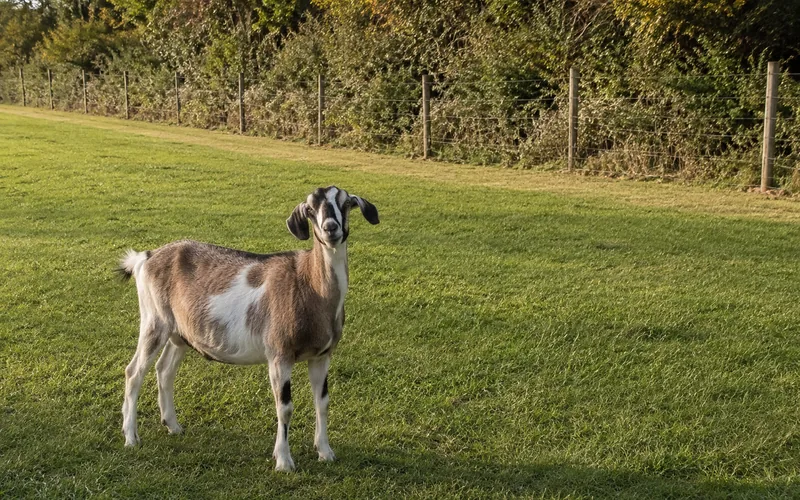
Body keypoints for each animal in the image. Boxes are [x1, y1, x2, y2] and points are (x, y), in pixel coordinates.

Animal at [117, 186, 379, 471]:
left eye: (345, 203)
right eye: (310, 209)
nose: (331, 228)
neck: (309, 284)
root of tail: (145, 258)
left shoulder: (322, 355)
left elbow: (322, 402)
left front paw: (325, 452)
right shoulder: (279, 354)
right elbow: (285, 407)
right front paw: (283, 461)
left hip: (180, 333)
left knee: (164, 370)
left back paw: (173, 425)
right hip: (154, 320)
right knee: (134, 372)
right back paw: (131, 437)